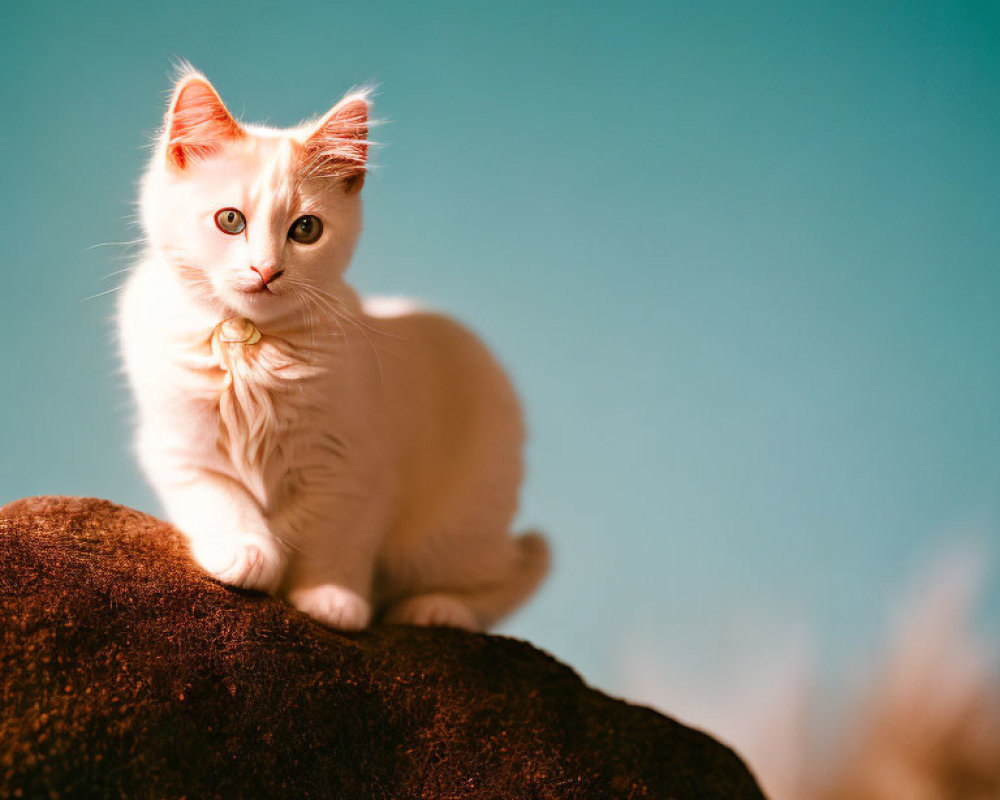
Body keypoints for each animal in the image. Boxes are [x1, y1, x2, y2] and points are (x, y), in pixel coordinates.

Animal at [123, 69, 556, 632]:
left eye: (306, 229)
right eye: (230, 221)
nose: (266, 270)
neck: (254, 352)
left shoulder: (355, 468)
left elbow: (332, 538)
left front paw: (329, 597)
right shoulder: (178, 447)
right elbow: (222, 498)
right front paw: (250, 552)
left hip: (454, 530)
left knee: (497, 586)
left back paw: (435, 609)